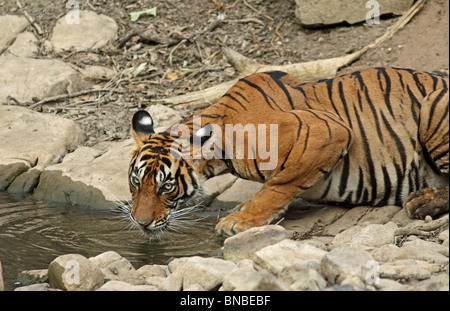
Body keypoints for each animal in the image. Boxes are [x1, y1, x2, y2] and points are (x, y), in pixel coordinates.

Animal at [128, 66, 448, 236]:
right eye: (135, 182)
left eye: (167, 187)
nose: (140, 223)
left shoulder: (326, 131)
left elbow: (278, 186)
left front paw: (239, 220)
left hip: (433, 107)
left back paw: (422, 202)